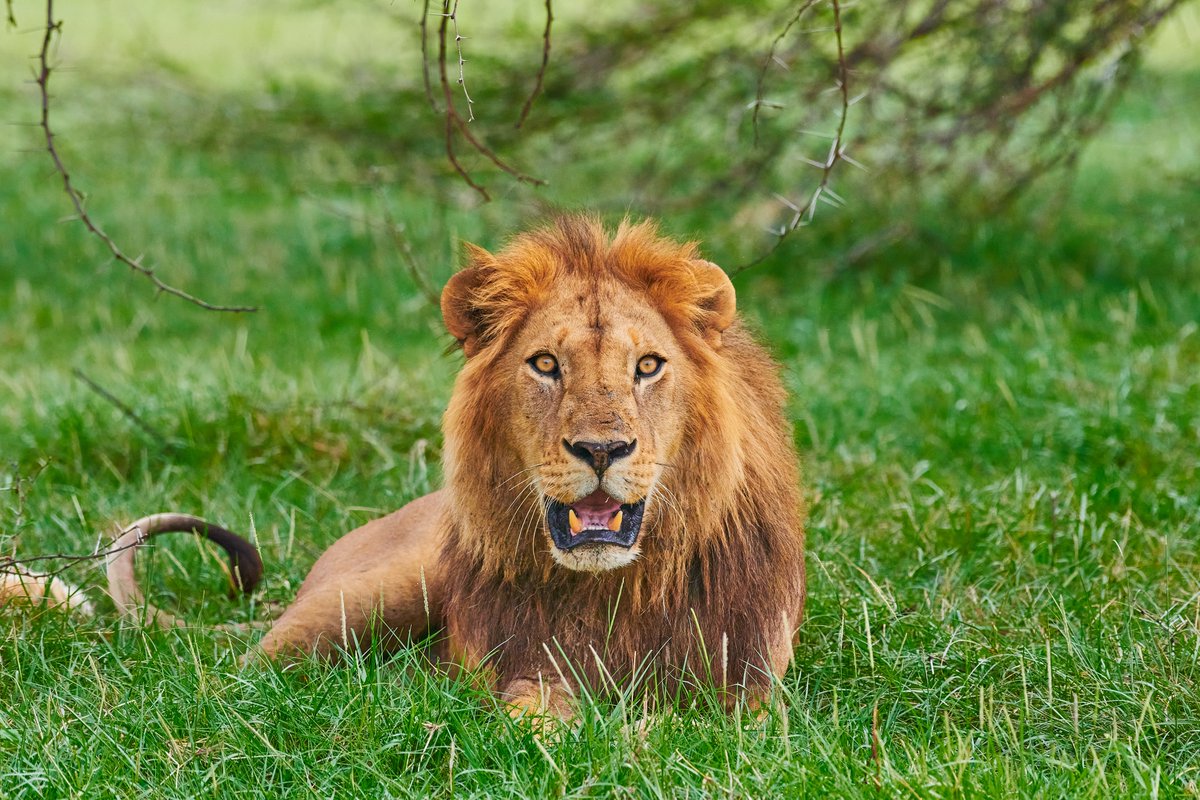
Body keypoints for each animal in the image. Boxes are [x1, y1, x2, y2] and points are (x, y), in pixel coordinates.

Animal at [96, 215, 806, 724]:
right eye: (545, 364)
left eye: (649, 365)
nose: (601, 450)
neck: (613, 589)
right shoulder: (524, 663)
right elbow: (533, 713)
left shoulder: (747, 682)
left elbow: (701, 723)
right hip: (371, 594)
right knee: (244, 672)